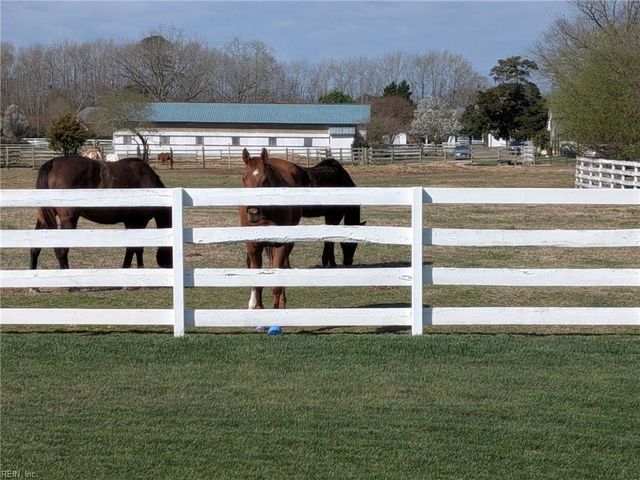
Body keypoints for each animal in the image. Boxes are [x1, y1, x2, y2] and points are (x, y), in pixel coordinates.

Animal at [30, 155, 172, 271]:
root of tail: (53, 163)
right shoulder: (139, 221)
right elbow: (134, 248)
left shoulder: (131, 222)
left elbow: (135, 248)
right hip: (68, 219)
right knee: (61, 252)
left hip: (45, 218)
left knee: (35, 249)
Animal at [240, 148, 309, 309]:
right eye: (244, 178)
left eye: (265, 179)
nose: (253, 212)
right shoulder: (253, 247)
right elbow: (257, 282)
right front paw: (257, 306)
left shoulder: (280, 245)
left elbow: (276, 285)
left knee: (284, 267)